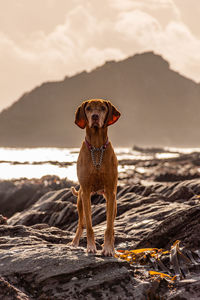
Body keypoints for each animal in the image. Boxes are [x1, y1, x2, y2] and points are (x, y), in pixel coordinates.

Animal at [71, 98, 120, 255]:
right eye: (88, 108)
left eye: (103, 108)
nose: (95, 116)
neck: (97, 148)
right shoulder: (86, 192)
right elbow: (89, 226)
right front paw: (91, 247)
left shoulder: (110, 193)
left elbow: (109, 227)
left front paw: (108, 248)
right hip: (80, 201)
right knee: (81, 224)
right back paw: (74, 243)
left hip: (114, 203)